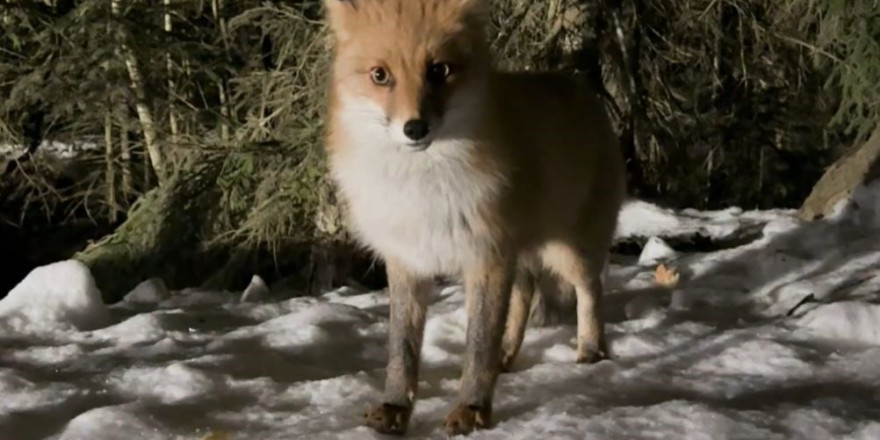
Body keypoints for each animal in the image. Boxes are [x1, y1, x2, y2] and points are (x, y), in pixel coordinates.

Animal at [324, 0, 624, 434]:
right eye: (380, 75)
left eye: (439, 70)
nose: (415, 128)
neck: (423, 189)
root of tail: (580, 88)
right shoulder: (408, 260)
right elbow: (402, 349)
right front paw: (396, 408)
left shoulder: (487, 256)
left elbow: (478, 346)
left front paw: (472, 408)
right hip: (524, 253)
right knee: (525, 293)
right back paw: (508, 356)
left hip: (567, 251)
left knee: (590, 289)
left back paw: (590, 349)